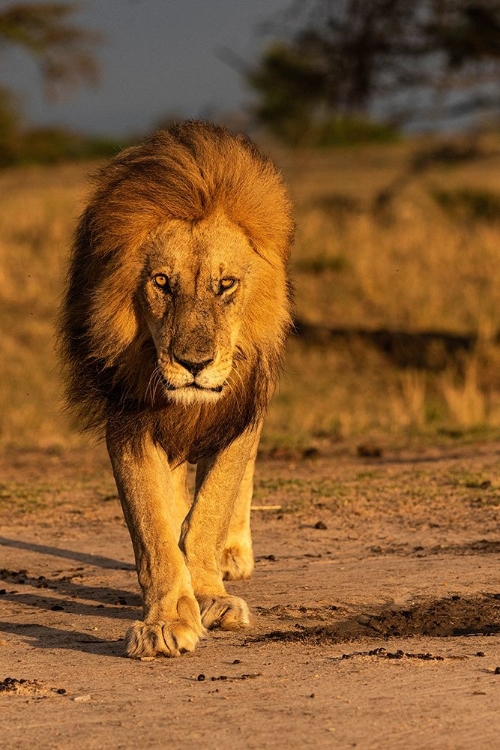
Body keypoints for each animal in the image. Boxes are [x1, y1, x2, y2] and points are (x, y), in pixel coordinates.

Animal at [58, 117, 292, 656]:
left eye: (226, 285)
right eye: (162, 282)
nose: (193, 363)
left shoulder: (241, 412)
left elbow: (212, 509)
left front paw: (210, 594)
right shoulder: (129, 420)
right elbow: (153, 525)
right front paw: (167, 619)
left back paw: (233, 553)